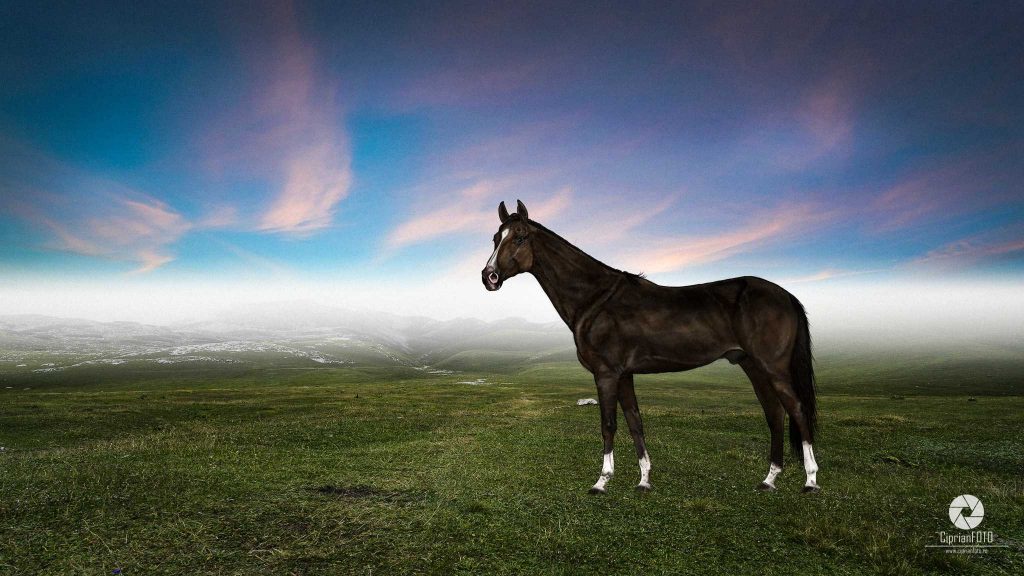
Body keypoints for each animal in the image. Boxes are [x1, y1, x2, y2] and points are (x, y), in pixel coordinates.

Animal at [481, 200, 820, 494]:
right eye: (496, 238)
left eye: (520, 237)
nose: (490, 277)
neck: (595, 299)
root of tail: (785, 295)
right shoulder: (624, 374)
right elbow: (635, 422)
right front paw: (644, 480)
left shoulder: (606, 373)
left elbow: (608, 424)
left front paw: (601, 482)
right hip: (752, 366)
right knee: (774, 413)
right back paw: (769, 480)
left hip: (773, 367)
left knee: (797, 410)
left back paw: (811, 481)